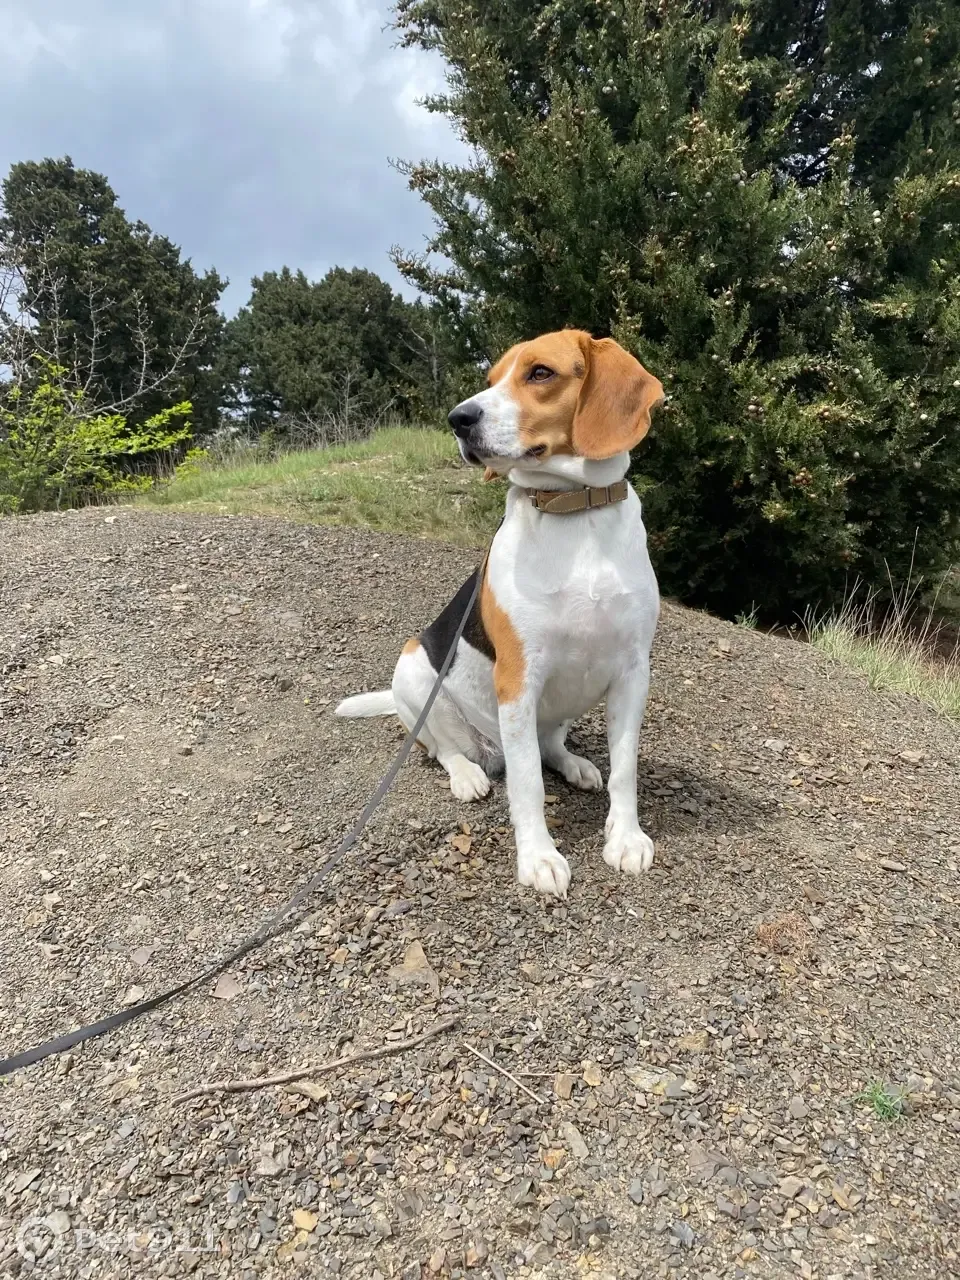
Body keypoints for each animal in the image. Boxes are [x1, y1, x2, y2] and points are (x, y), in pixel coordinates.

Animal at [340, 325, 670, 896]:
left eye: (540, 373)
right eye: (491, 379)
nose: (458, 418)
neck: (574, 511)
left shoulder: (633, 673)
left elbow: (625, 768)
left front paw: (625, 838)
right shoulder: (518, 678)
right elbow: (527, 785)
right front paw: (538, 857)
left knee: (547, 747)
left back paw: (574, 764)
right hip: (414, 671)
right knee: (445, 749)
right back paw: (468, 775)